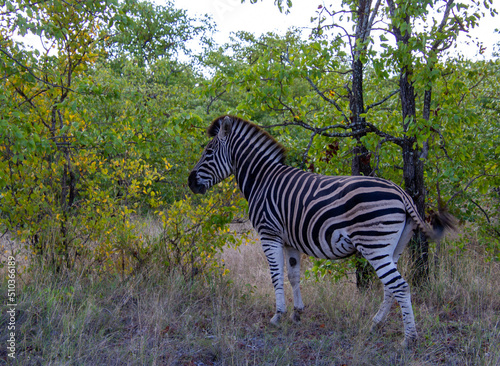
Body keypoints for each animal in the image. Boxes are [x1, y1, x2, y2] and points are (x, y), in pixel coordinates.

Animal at [188, 115, 454, 346]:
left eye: (208, 152)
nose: (190, 183)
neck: (262, 180)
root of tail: (401, 192)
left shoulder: (268, 233)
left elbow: (276, 275)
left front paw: (277, 316)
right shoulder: (289, 240)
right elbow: (293, 275)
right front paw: (297, 313)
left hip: (374, 244)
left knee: (399, 286)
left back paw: (409, 339)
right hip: (394, 245)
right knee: (391, 286)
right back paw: (375, 324)